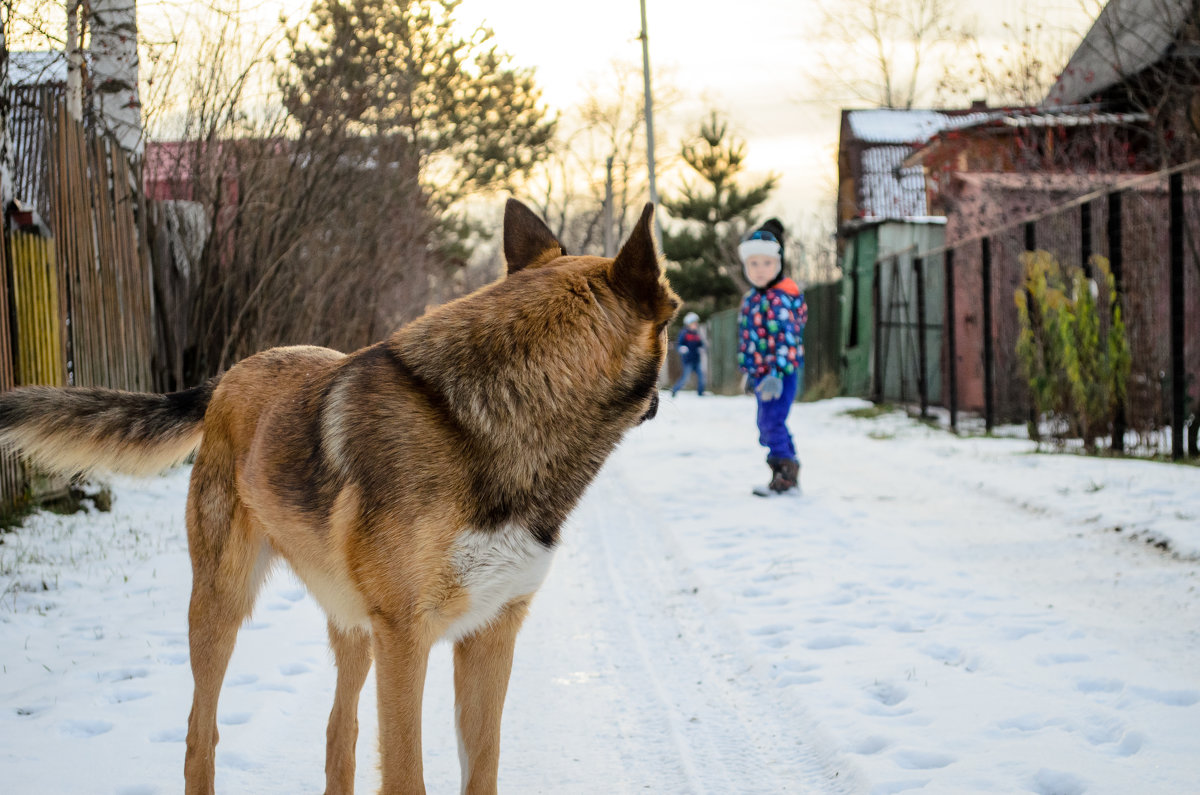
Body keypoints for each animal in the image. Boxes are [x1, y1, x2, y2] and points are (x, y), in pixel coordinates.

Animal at [0, 198, 676, 792]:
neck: (492, 417)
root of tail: (230, 375)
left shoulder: (489, 637)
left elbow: (480, 770)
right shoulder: (407, 638)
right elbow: (406, 777)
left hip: (352, 625)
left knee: (337, 733)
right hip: (222, 606)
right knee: (201, 734)